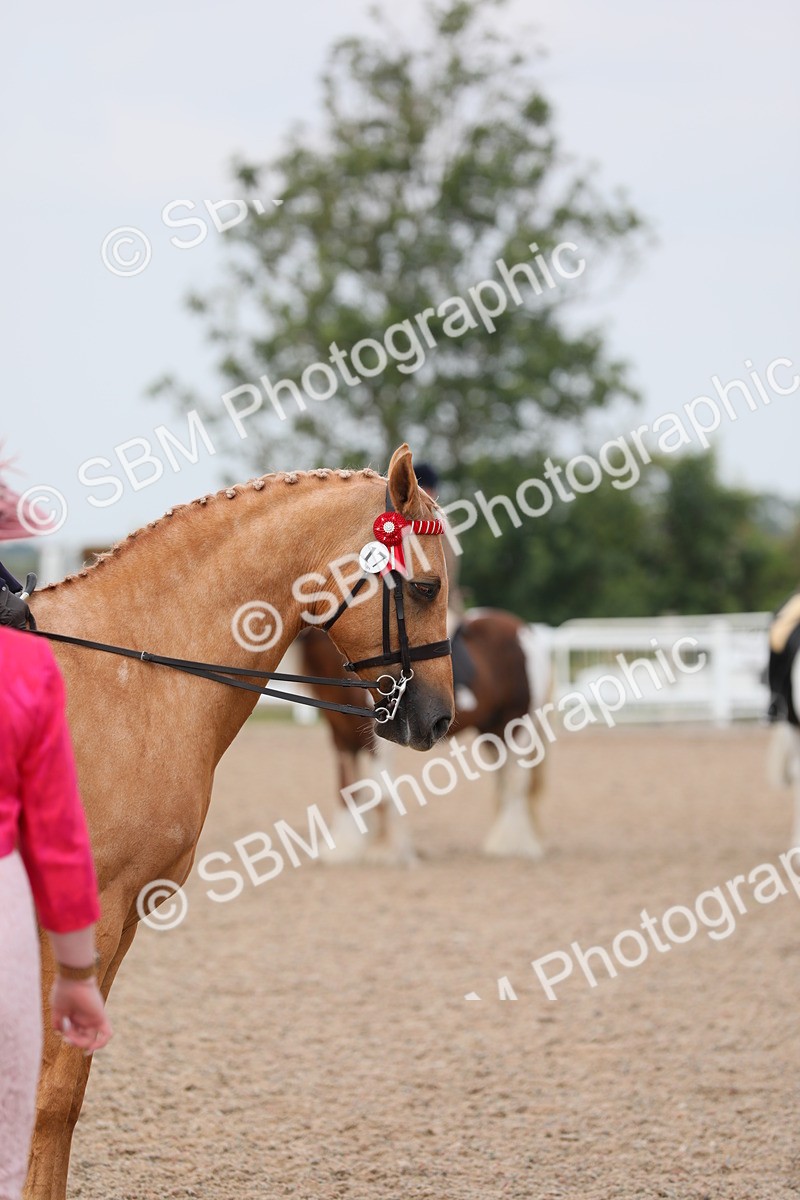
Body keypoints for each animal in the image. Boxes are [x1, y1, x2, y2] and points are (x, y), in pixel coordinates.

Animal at [22, 444, 453, 1200]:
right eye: (426, 589)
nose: (438, 719)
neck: (130, 673)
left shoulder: (121, 917)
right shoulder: (86, 911)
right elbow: (55, 1094)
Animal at [298, 608, 553, 864]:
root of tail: (524, 632)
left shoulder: (379, 738)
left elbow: (381, 792)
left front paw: (386, 850)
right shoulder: (341, 736)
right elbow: (346, 787)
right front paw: (346, 848)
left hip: (517, 724)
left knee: (516, 781)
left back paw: (513, 845)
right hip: (494, 731)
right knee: (504, 780)